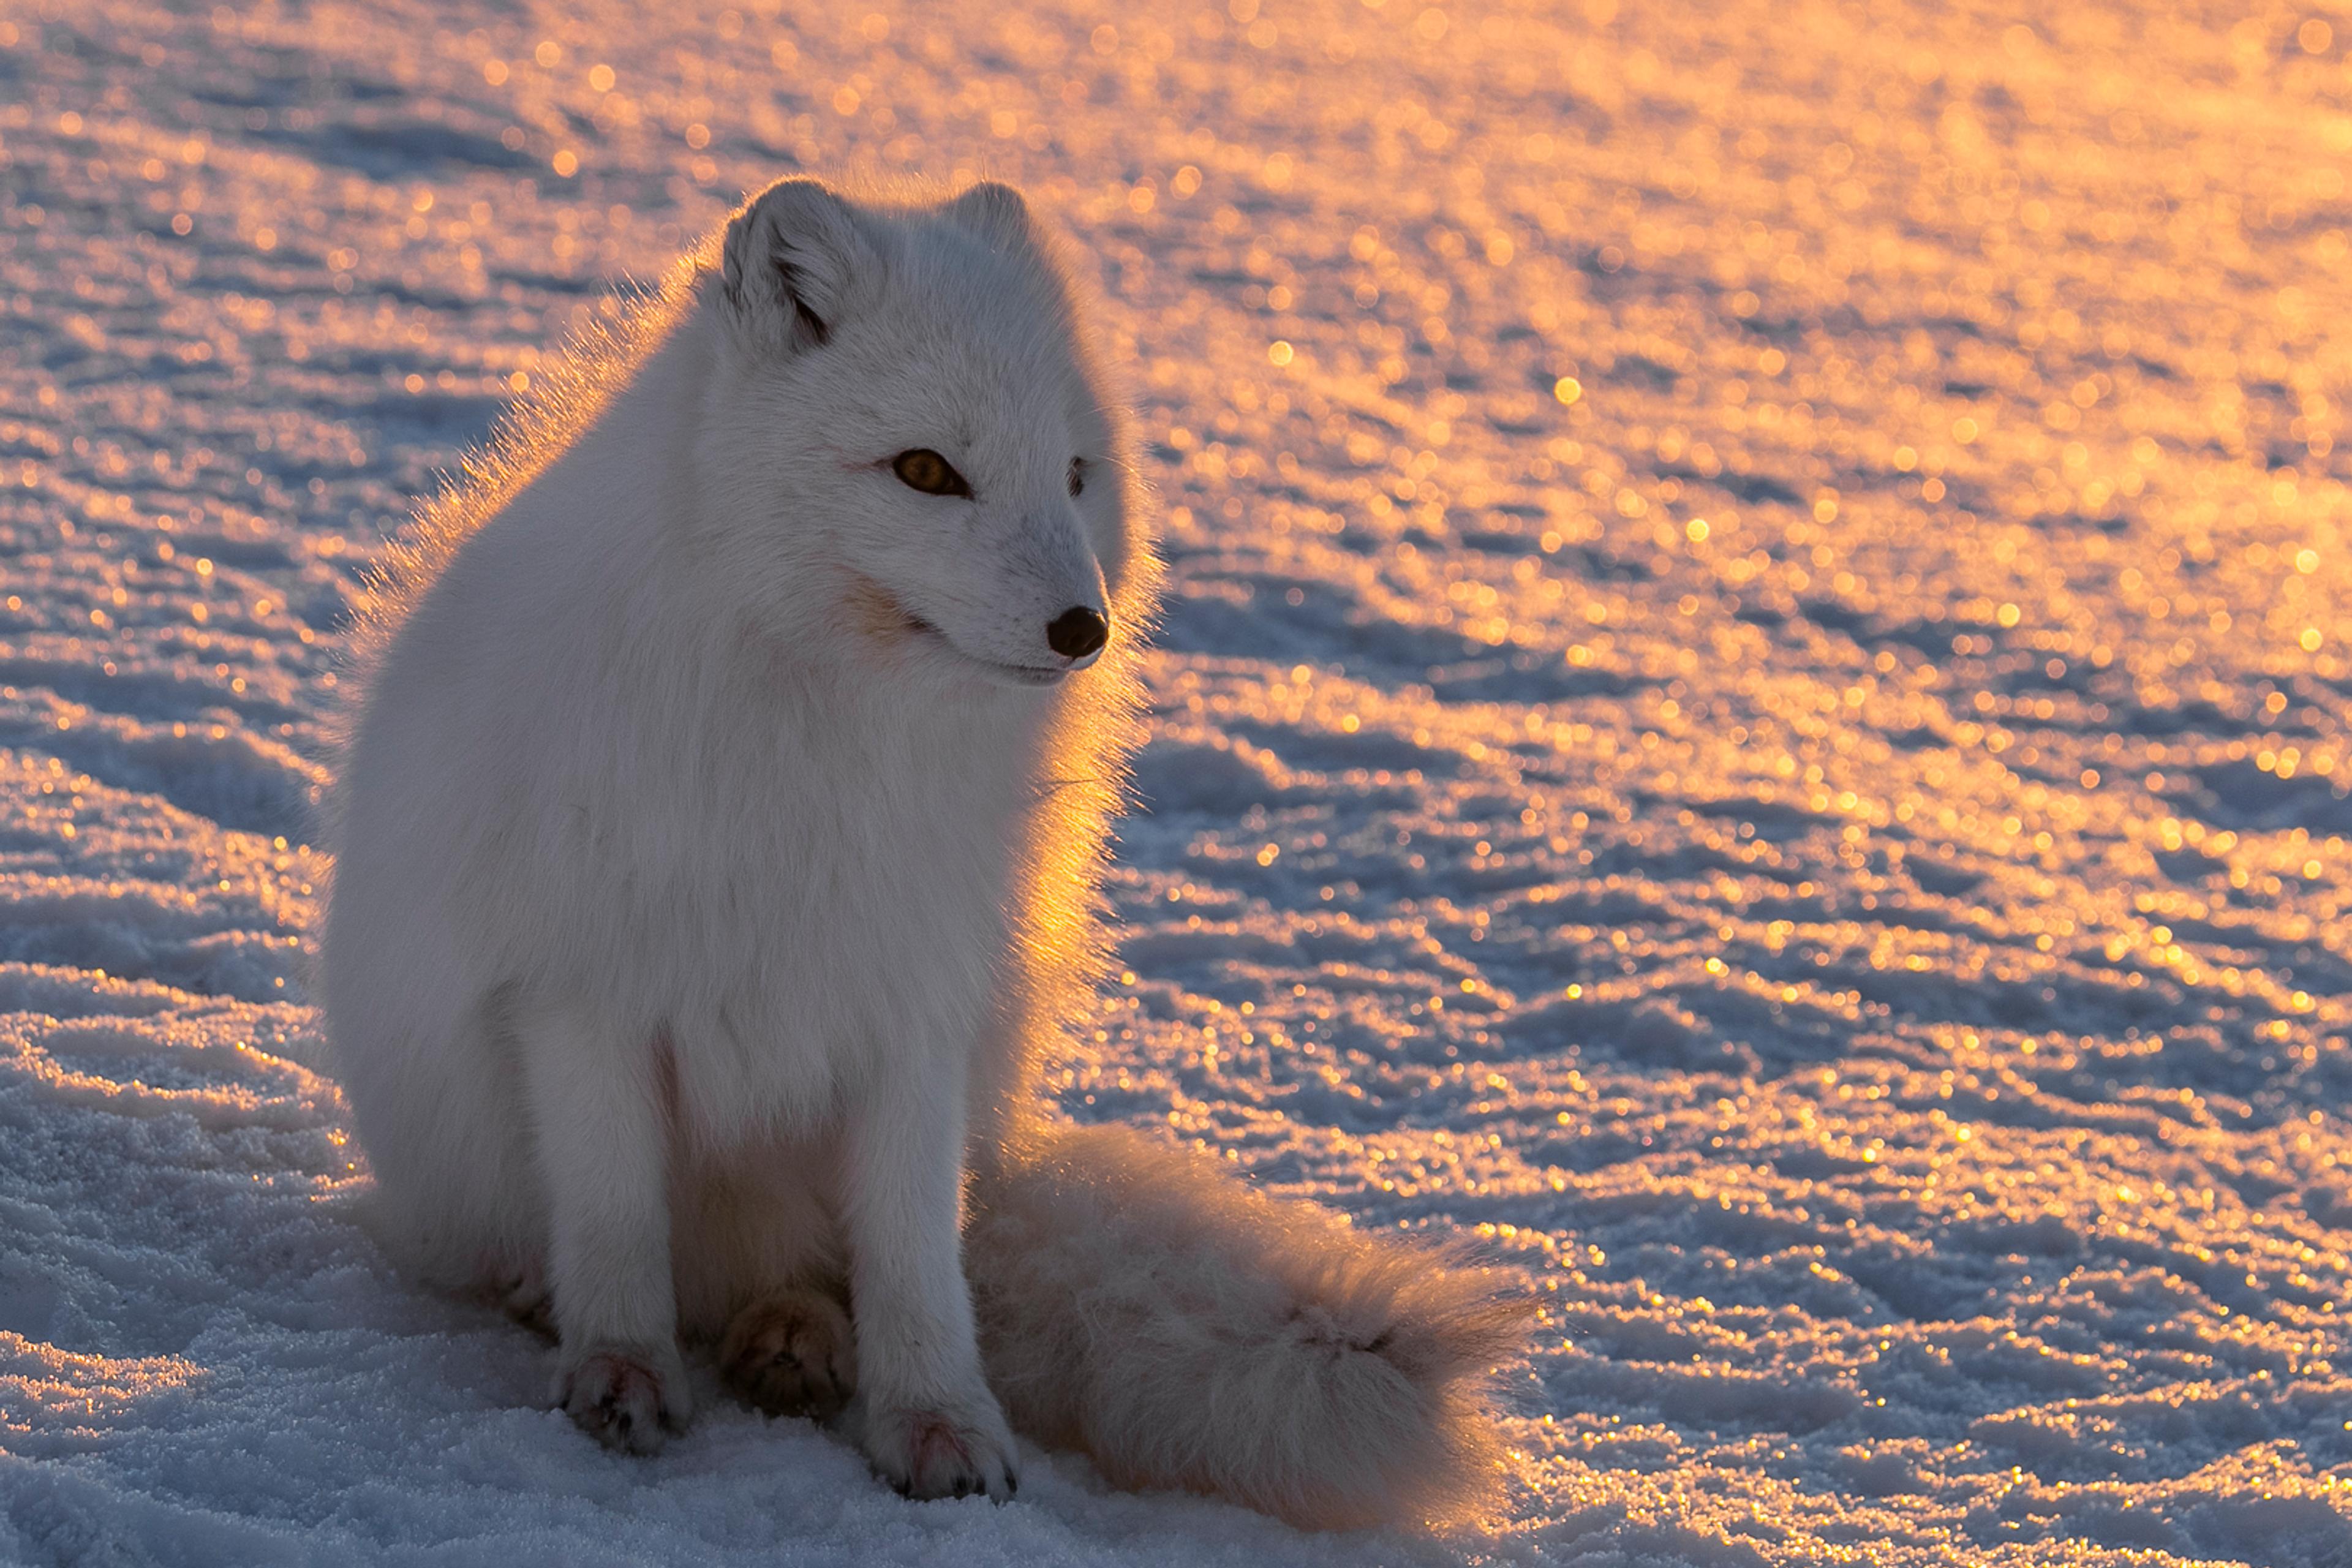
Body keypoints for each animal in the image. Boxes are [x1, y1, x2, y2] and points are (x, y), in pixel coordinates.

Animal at [320, 174, 1527, 1530]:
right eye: (926, 471)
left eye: (1074, 474)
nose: (1085, 629)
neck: (825, 745)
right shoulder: (584, 996)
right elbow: (616, 1220)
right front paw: (620, 1373)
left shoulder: (913, 1006)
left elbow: (910, 1262)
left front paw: (939, 1427)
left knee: (830, 1268)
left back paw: (793, 1339)